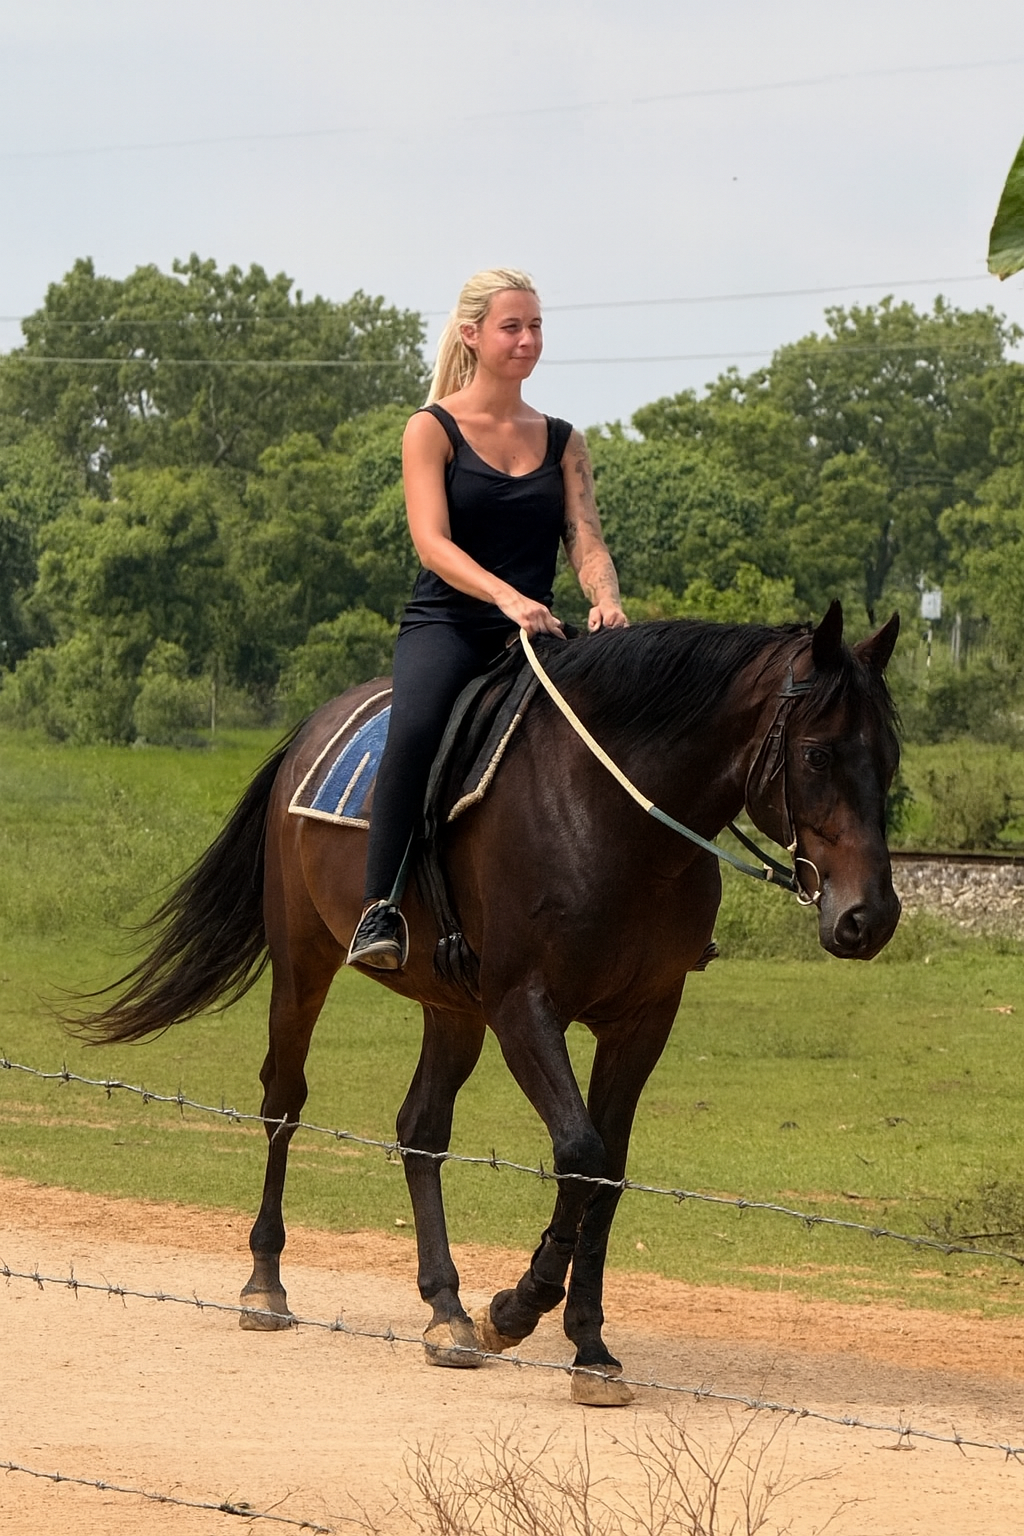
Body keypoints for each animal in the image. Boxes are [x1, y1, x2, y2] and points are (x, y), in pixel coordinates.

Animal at [77, 600, 901, 1405]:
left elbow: (608, 1173)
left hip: (452, 1007)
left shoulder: (642, 1019)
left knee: (420, 1131)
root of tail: (310, 733)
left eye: (889, 758)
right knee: (284, 1101)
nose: (870, 917)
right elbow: (579, 1153)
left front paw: (589, 1347)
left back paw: (446, 1310)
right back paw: (266, 1285)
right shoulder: (523, 1007)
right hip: (304, 961)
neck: (611, 818)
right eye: (818, 754)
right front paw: (517, 1308)